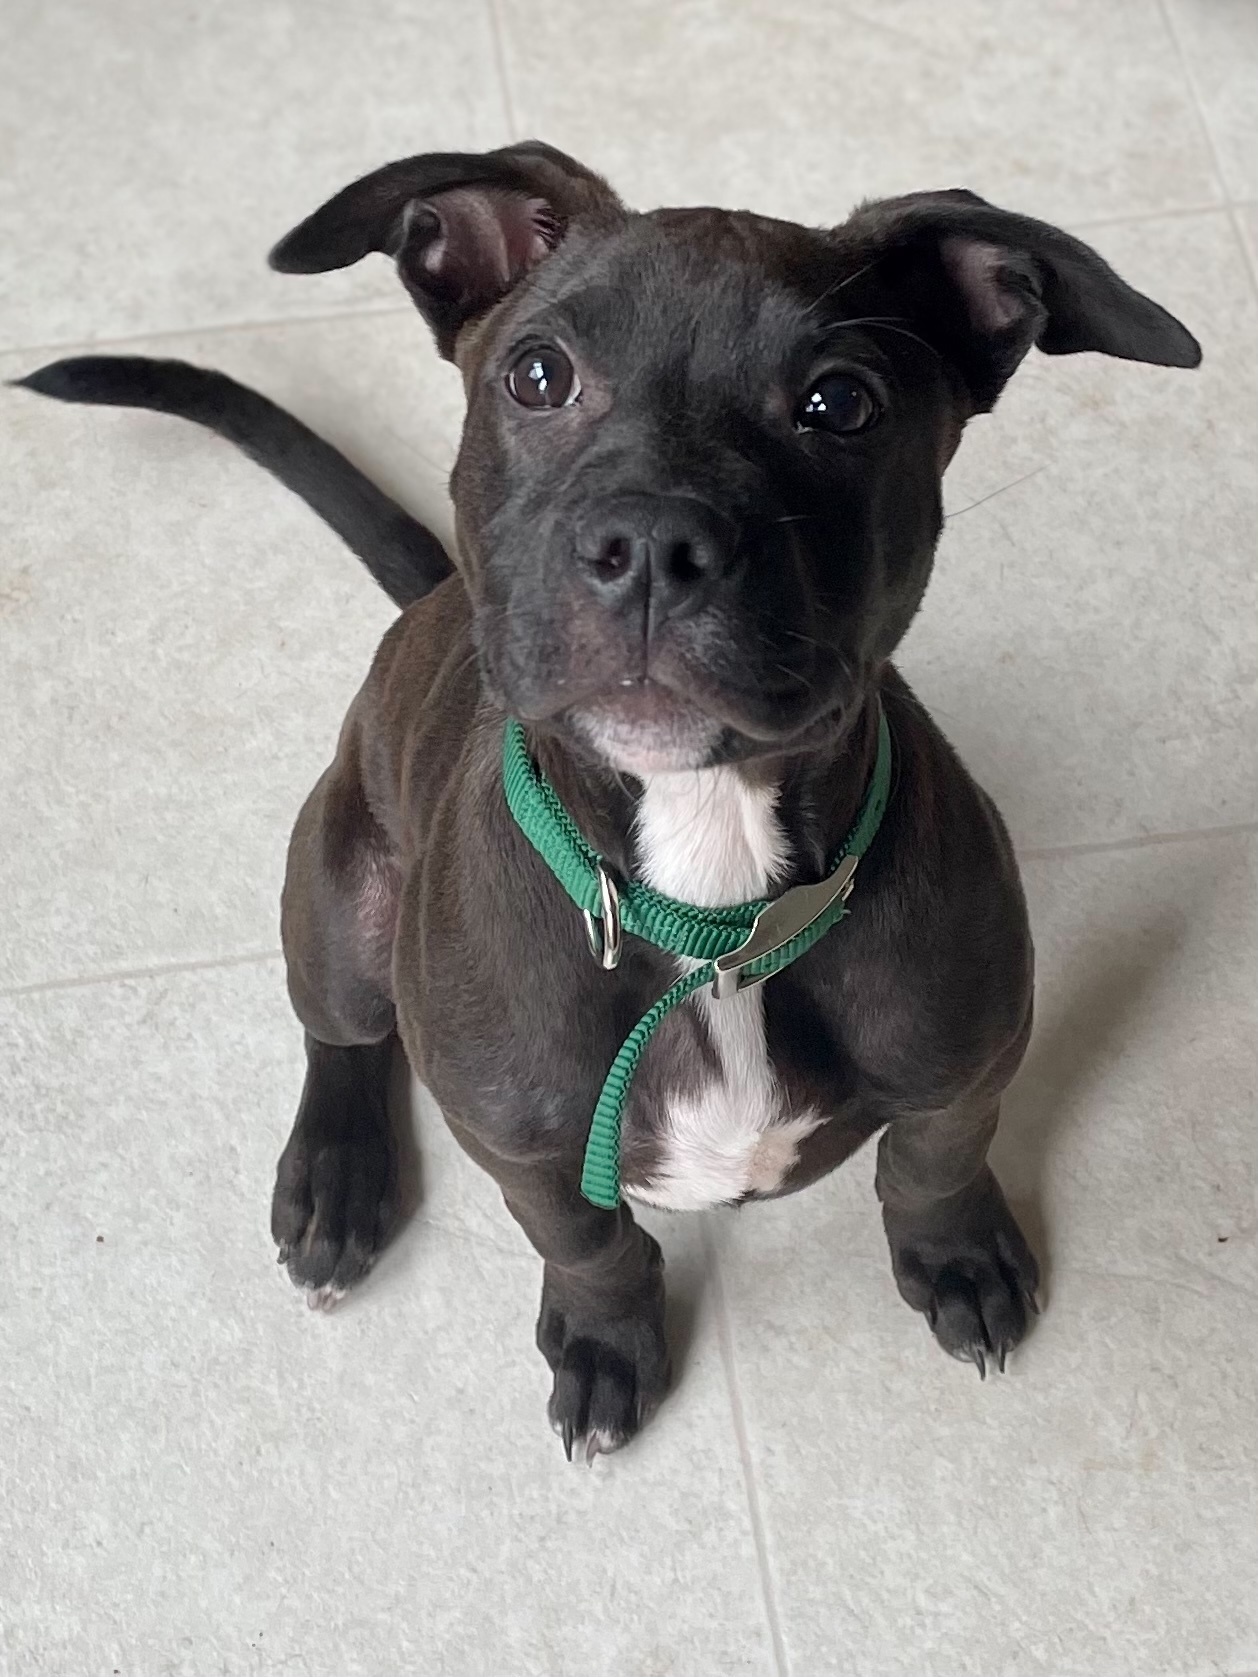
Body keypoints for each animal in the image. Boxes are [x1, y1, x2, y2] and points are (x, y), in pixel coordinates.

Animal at [19, 140, 1201, 1461]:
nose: (650, 541)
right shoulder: (521, 1144)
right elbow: (589, 1244)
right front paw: (600, 1343)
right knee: (342, 1029)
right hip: (336, 892)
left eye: (841, 403)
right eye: (538, 374)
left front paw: (955, 1258)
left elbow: (934, 1161)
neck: (711, 906)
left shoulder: (971, 1056)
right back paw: (336, 1178)